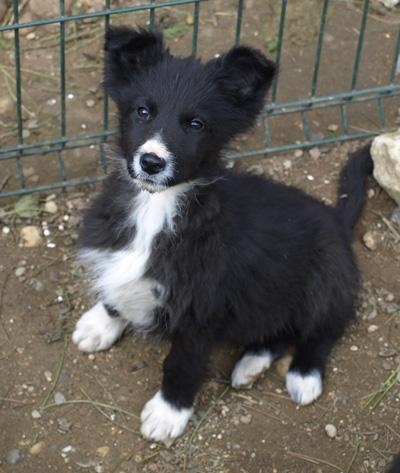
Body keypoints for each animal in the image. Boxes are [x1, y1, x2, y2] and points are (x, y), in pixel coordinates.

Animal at [71, 27, 372, 442]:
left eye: (196, 124)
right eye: (142, 111)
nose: (151, 162)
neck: (155, 209)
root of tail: (337, 219)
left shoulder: (202, 308)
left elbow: (182, 363)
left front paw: (168, 413)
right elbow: (116, 287)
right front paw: (101, 323)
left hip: (325, 281)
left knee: (322, 330)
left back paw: (304, 375)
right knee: (277, 330)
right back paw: (252, 362)